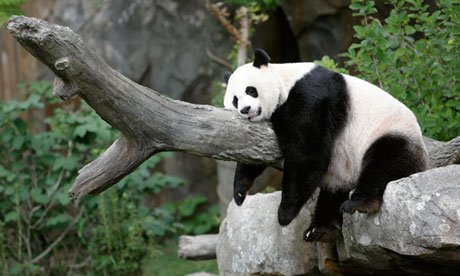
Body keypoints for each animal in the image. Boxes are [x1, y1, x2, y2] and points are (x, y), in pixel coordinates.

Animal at [223, 49, 428, 242]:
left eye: (251, 90)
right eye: (235, 99)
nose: (245, 110)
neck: (285, 81)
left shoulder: (311, 98)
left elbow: (306, 153)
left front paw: (284, 214)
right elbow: (254, 151)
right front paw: (240, 192)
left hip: (390, 134)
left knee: (383, 163)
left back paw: (360, 203)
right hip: (342, 170)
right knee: (333, 192)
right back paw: (320, 228)